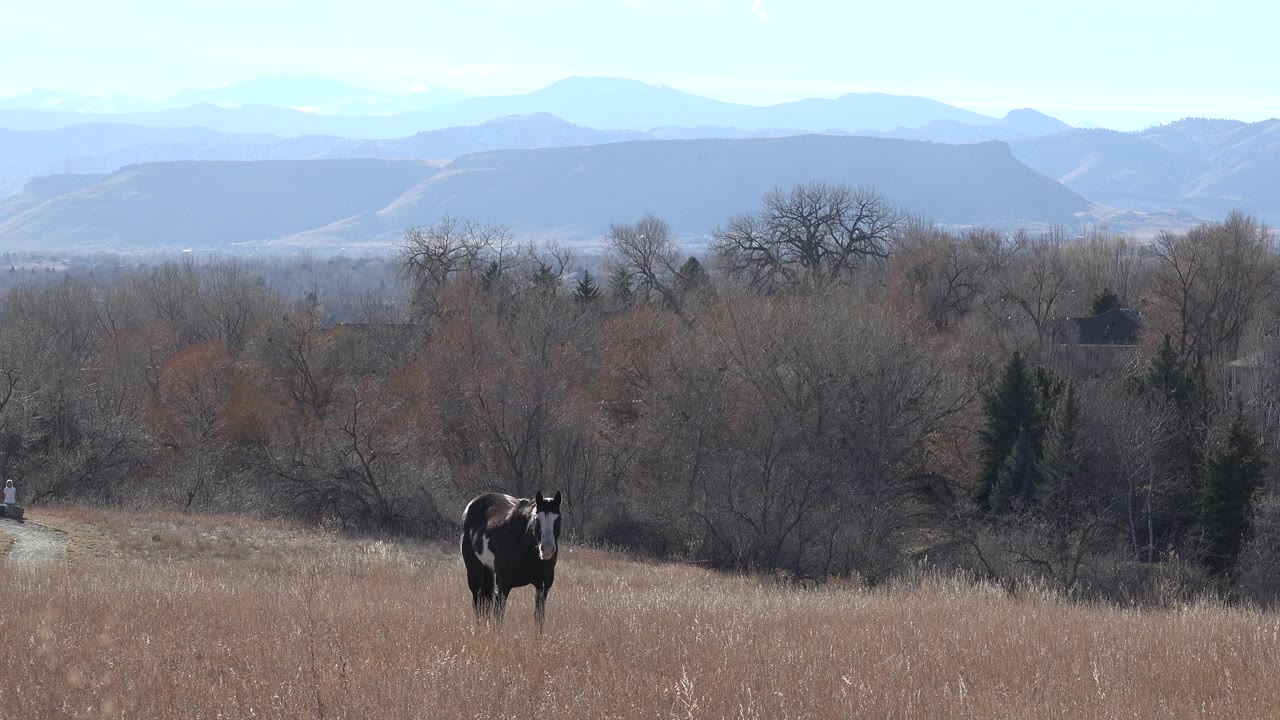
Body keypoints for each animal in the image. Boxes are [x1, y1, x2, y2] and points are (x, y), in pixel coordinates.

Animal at [461, 490, 561, 628]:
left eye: (558, 519)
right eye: (537, 518)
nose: (546, 549)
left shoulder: (543, 586)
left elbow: (539, 618)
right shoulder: (503, 586)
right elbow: (498, 617)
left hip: (486, 569)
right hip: (473, 570)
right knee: (478, 602)